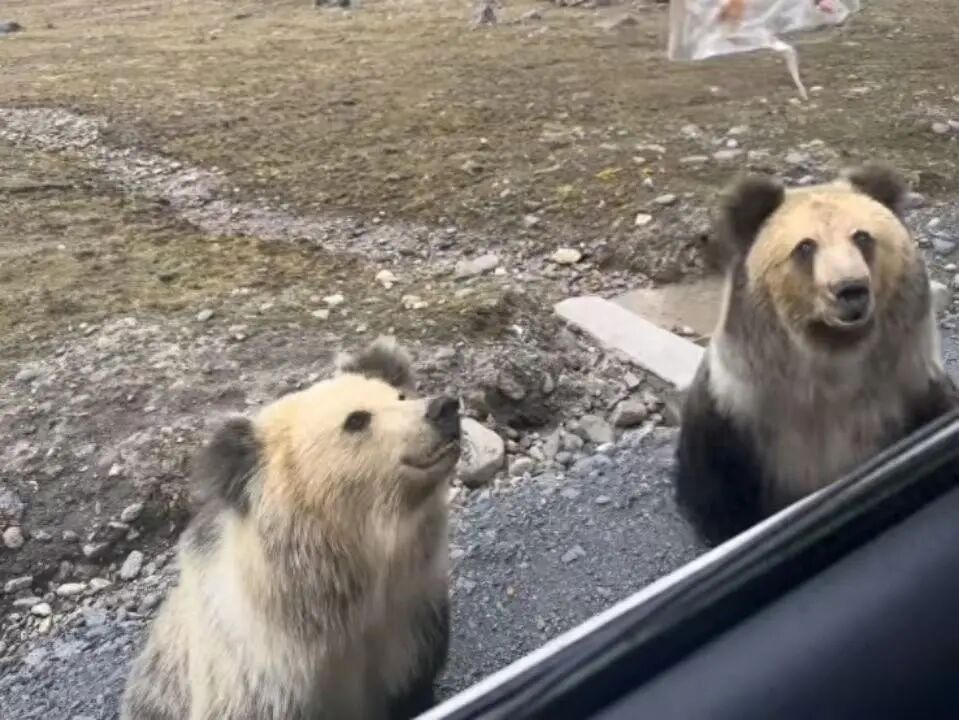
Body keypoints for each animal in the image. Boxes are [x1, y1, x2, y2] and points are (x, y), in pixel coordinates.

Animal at [674, 163, 958, 546]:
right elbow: (718, 503)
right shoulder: (737, 421)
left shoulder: (912, 392)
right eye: (806, 247)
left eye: (862, 237)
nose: (850, 289)